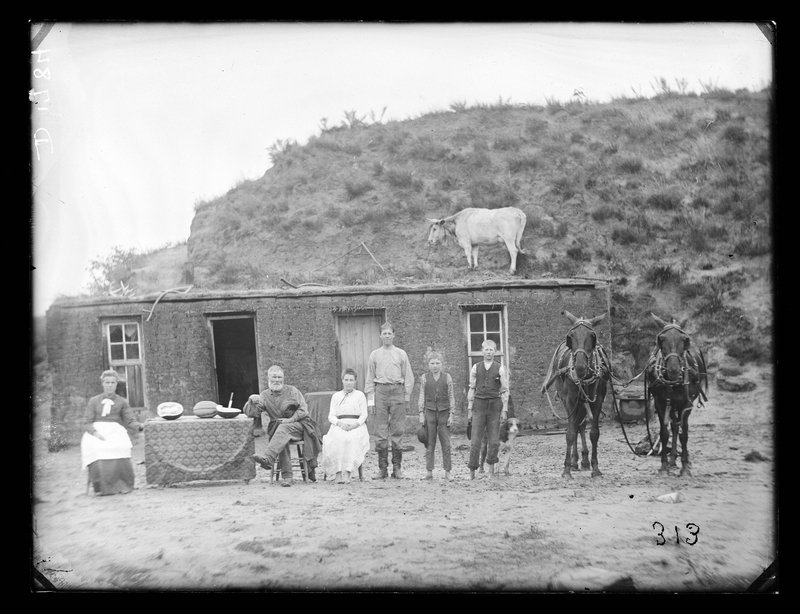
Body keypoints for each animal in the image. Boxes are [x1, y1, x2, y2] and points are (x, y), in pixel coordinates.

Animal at [544, 312, 612, 482]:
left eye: (592, 336)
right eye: (571, 336)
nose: (580, 367)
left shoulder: (598, 401)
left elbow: (594, 433)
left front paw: (595, 468)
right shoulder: (570, 400)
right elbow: (570, 432)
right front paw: (567, 469)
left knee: (581, 425)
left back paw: (584, 461)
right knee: (576, 426)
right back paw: (575, 462)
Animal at [648, 316, 708, 478]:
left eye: (684, 340)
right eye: (661, 339)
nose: (673, 370)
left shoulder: (687, 404)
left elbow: (684, 434)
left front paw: (685, 467)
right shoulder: (660, 403)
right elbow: (664, 433)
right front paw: (664, 466)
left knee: (679, 427)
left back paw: (683, 459)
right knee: (674, 426)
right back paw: (672, 459)